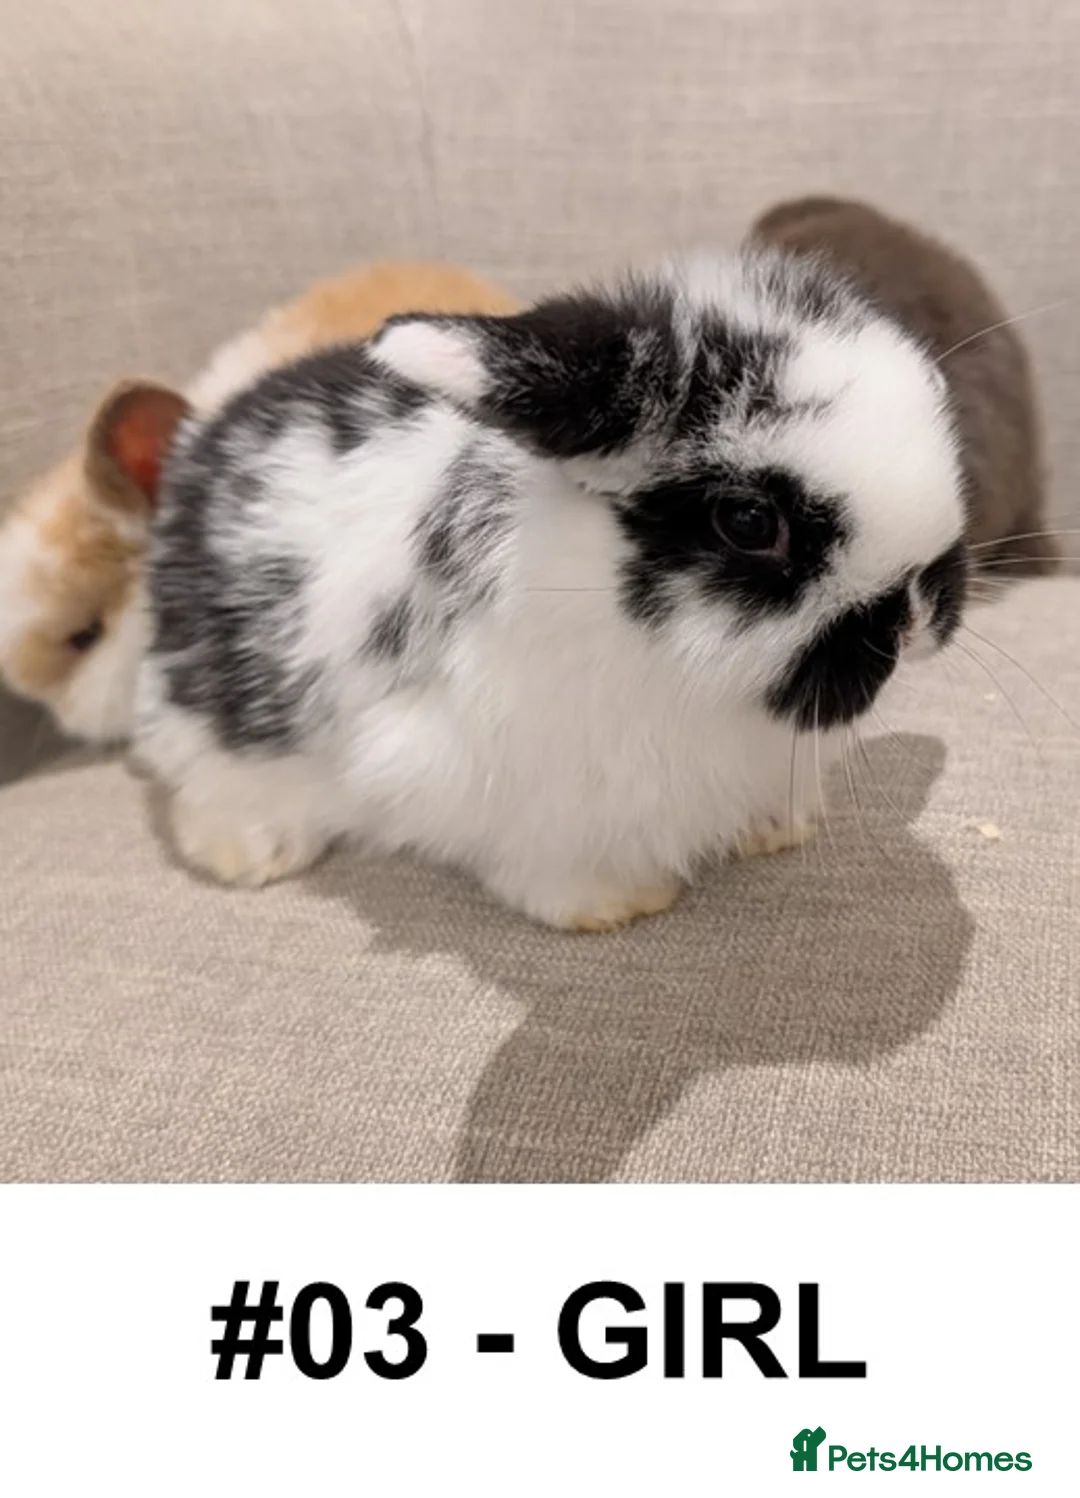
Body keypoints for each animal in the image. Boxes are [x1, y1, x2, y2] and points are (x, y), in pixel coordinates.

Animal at [130, 247, 968, 930]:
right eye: (749, 521)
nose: (914, 619)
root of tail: (200, 449)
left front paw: (778, 829)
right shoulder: (500, 779)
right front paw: (616, 904)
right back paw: (248, 852)